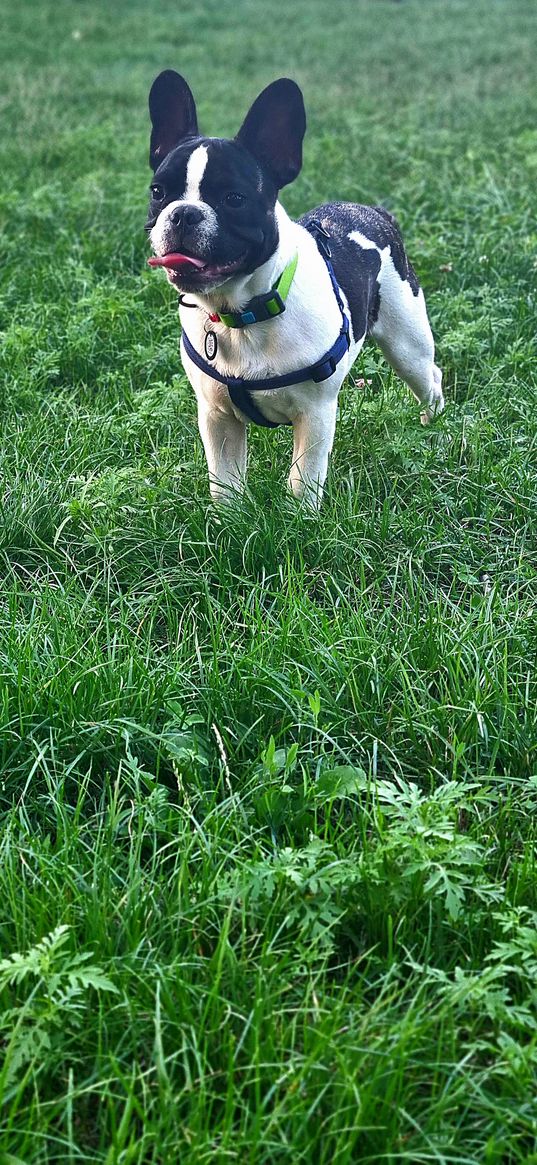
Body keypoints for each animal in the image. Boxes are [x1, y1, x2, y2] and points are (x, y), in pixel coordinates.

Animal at [144, 72, 442, 507]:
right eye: (158, 192)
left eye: (234, 199)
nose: (183, 213)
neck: (243, 312)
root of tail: (373, 212)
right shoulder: (217, 418)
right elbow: (225, 483)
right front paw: (228, 520)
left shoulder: (314, 415)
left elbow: (303, 481)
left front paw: (301, 519)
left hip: (407, 344)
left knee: (429, 377)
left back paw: (435, 427)